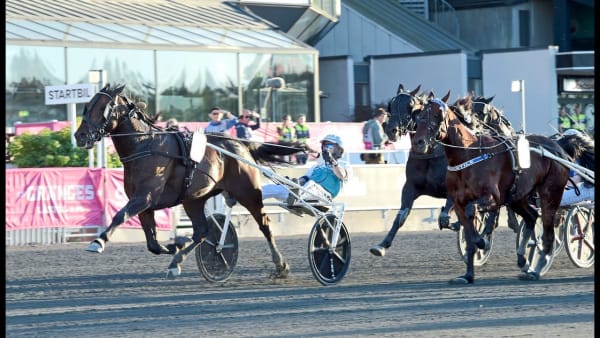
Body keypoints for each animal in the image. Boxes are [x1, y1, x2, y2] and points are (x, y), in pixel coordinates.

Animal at [74, 83, 308, 278]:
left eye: (102, 107)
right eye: (87, 106)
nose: (79, 136)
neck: (145, 146)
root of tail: (240, 144)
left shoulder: (144, 198)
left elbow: (119, 216)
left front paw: (98, 241)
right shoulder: (144, 205)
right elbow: (152, 244)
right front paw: (175, 246)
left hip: (248, 192)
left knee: (264, 224)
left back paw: (280, 265)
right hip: (193, 199)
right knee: (202, 232)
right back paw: (177, 261)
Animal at [410, 91, 568, 284]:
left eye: (437, 114)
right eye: (419, 115)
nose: (418, 142)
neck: (469, 155)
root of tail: (558, 148)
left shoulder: (492, 197)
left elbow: (476, 214)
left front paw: (482, 241)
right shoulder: (458, 203)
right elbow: (469, 232)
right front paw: (468, 275)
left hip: (550, 195)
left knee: (547, 232)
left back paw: (536, 270)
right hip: (517, 197)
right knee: (531, 216)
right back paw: (523, 259)